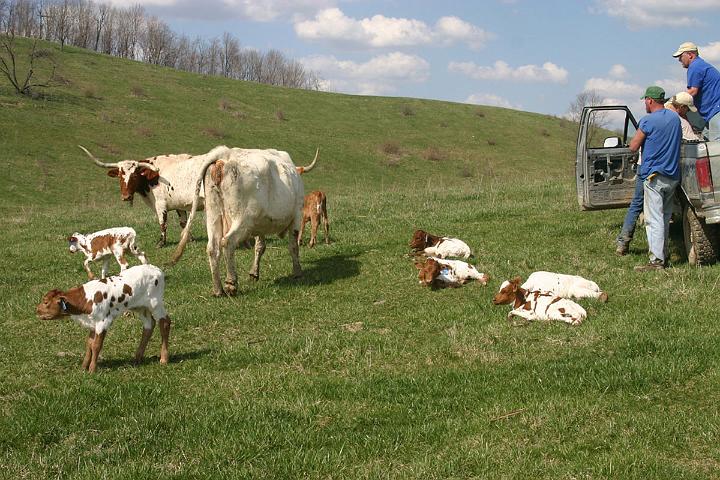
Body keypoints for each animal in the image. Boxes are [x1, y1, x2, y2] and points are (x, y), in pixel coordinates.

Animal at [36, 264, 171, 372]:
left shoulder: (103, 322)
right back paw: (137, 358)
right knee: (149, 324)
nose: (37, 310)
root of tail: (156, 269)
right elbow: (89, 344)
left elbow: (96, 345)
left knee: (165, 323)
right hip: (140, 307)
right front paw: (83, 367)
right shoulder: (92, 323)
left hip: (155, 303)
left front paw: (92, 369)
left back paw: (164, 359)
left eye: (46, 302)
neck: (85, 299)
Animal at [80, 145, 318, 247]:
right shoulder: (179, 204)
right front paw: (189, 238)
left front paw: (161, 242)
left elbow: (163, 223)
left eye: (135, 174)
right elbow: (183, 221)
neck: (155, 175)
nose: (125, 196)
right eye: (120, 175)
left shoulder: (161, 205)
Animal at [170, 146, 318, 297]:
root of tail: (225, 153)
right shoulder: (296, 216)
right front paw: (297, 271)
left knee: (212, 248)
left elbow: (260, 247)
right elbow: (293, 246)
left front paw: (254, 273)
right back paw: (231, 284)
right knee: (227, 242)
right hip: (242, 219)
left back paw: (218, 290)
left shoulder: (261, 224)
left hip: (213, 215)